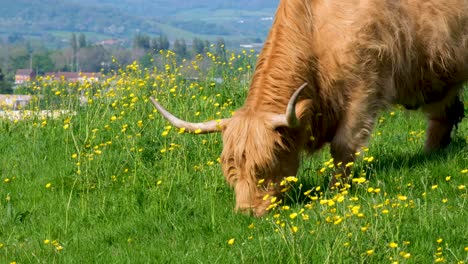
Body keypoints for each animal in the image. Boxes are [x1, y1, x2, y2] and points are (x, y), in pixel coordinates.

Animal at [152, 0, 466, 217]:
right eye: (230, 170)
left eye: (266, 164)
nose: (247, 213)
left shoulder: (366, 87)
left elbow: (343, 146)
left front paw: (336, 191)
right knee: (442, 117)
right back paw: (431, 155)